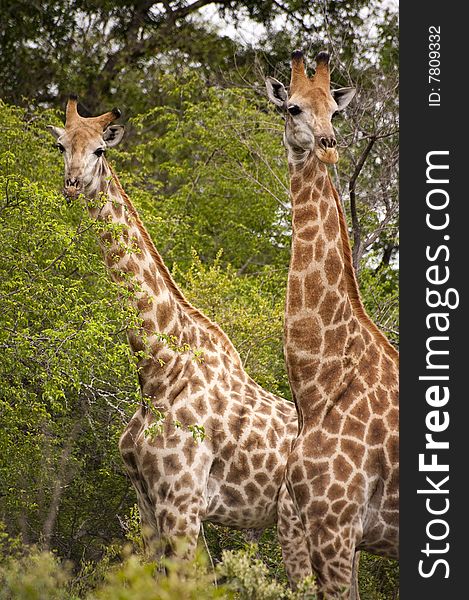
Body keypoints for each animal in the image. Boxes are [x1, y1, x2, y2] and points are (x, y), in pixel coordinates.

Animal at [46, 97, 310, 584]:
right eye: (61, 145)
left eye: (99, 150)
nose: (72, 186)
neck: (158, 371)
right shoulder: (148, 502)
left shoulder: (182, 501)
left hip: (302, 523)